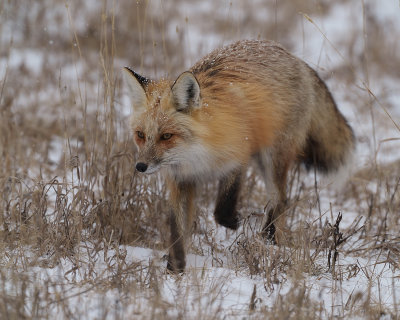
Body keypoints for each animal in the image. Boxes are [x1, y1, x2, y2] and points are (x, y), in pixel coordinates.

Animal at [123, 38, 354, 272]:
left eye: (166, 136)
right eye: (140, 135)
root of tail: (293, 57)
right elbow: (177, 228)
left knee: (280, 199)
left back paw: (269, 240)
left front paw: (236, 222)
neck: (194, 156)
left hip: (272, 157)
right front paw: (175, 267)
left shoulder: (237, 158)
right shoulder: (181, 180)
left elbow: (222, 208)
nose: (140, 166)